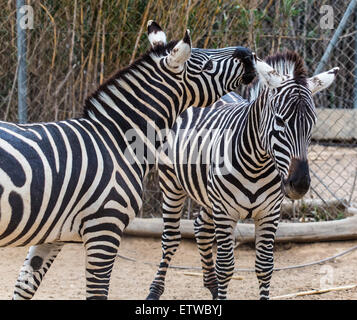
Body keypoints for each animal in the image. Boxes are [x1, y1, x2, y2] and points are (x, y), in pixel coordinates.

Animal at [6, 20, 256, 300]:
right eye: (207, 66)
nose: (247, 53)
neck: (117, 138)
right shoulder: (104, 228)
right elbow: (97, 293)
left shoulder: (54, 234)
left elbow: (25, 285)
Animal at [147, 50, 336, 300]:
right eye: (280, 120)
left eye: (312, 123)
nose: (300, 184)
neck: (258, 164)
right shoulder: (225, 212)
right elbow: (226, 266)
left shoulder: (269, 213)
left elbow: (265, 267)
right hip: (172, 184)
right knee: (170, 238)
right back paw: (155, 290)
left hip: (208, 196)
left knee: (201, 228)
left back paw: (212, 286)